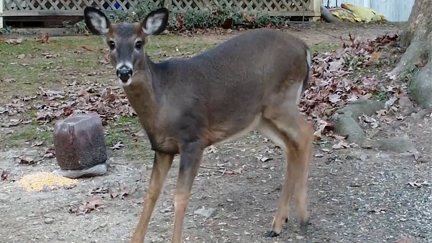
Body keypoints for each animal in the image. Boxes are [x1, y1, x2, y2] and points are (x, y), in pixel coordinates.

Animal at [83, 6, 314, 243]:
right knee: (291, 146)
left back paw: (303, 217)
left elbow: (180, 196)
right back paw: (278, 223)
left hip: (280, 101)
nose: (124, 71)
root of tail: (304, 48)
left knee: (306, 132)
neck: (162, 102)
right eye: (111, 43)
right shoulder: (162, 148)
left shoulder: (193, 139)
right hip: (261, 117)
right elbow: (151, 193)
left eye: (139, 43)